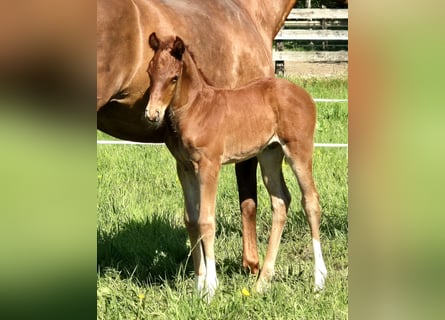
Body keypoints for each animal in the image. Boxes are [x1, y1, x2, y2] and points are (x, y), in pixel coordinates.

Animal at [146, 32, 326, 300]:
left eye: (173, 78)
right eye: (149, 73)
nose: (152, 115)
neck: (197, 109)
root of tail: (306, 96)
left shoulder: (209, 165)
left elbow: (206, 221)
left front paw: (210, 288)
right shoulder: (185, 167)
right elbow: (191, 220)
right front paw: (198, 285)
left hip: (298, 150)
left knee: (311, 201)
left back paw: (319, 280)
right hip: (270, 155)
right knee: (281, 201)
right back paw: (262, 282)